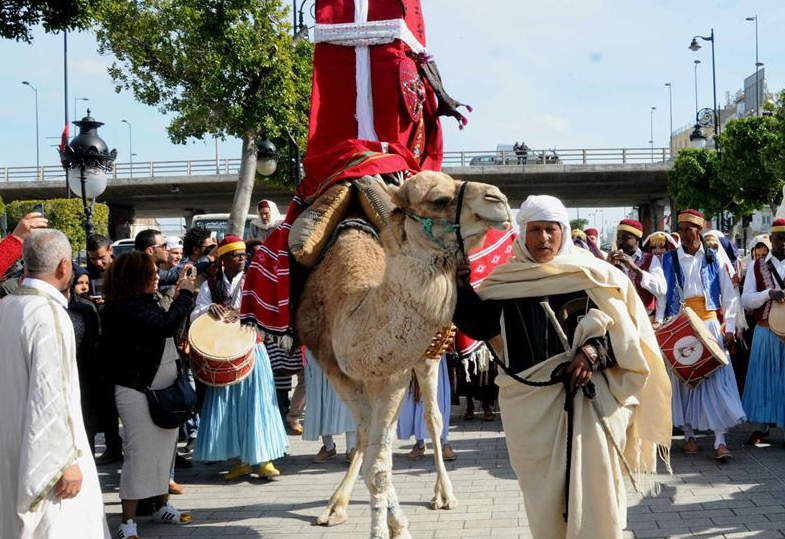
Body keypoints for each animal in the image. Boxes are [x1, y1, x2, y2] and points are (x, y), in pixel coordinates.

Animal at [294, 172, 508, 539]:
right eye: (439, 199)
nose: (499, 199)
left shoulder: (392, 373)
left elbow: (379, 463)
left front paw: (392, 528)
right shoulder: (337, 369)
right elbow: (374, 455)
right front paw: (384, 522)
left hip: (427, 357)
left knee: (433, 419)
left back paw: (443, 494)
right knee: (368, 436)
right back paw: (336, 504)